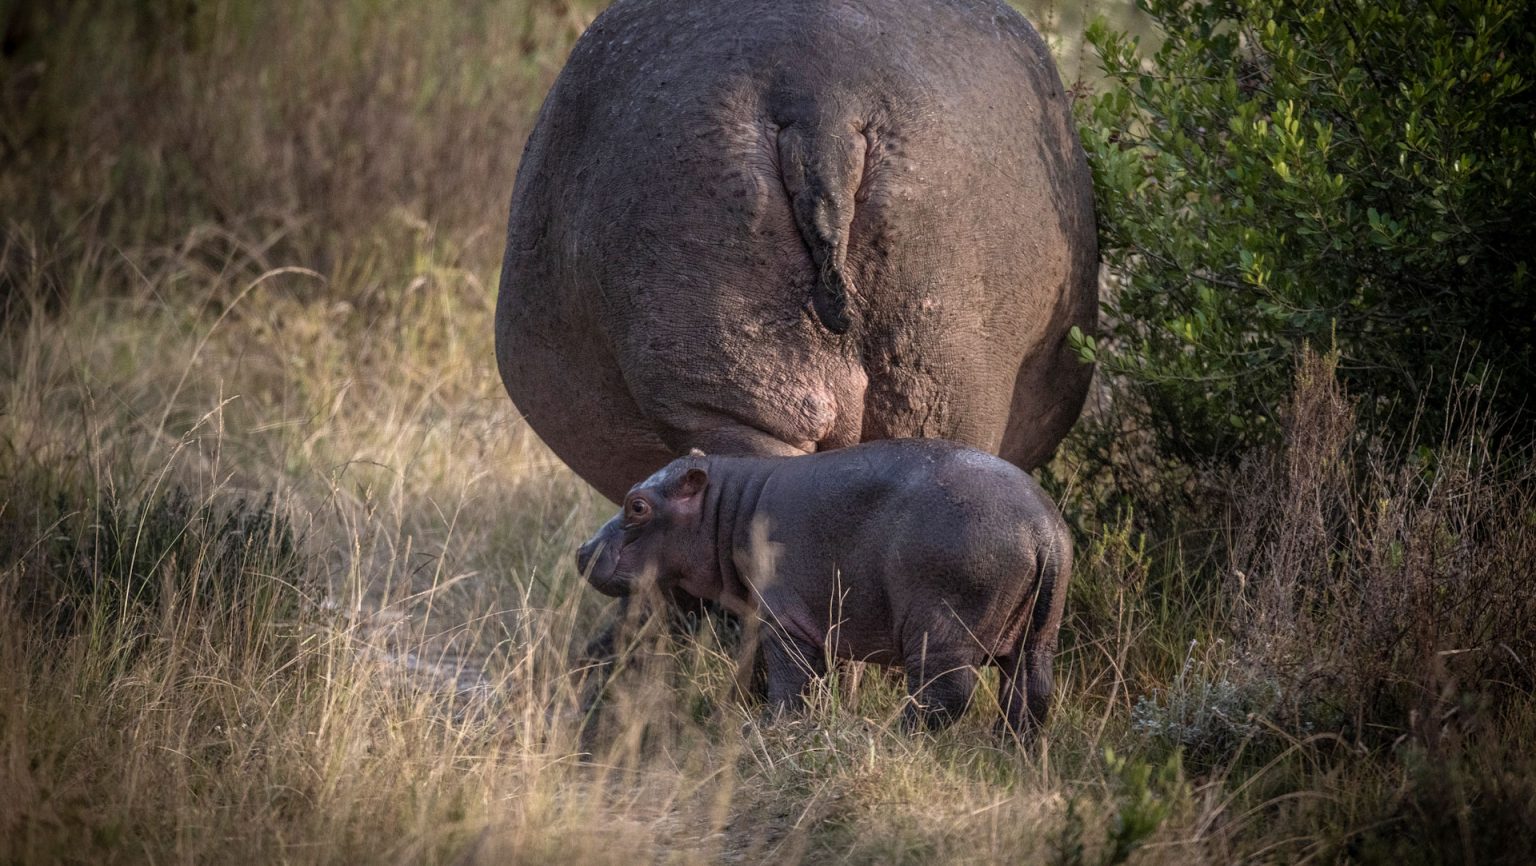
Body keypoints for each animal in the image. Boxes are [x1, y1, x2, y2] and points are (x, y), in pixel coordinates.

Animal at [575, 440, 1072, 736]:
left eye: (637, 506)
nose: (582, 550)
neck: (725, 508)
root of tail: (1041, 528)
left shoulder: (784, 618)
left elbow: (790, 679)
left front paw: (766, 728)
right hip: (1039, 634)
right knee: (1031, 692)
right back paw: (1009, 748)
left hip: (940, 628)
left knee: (946, 693)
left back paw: (892, 735)